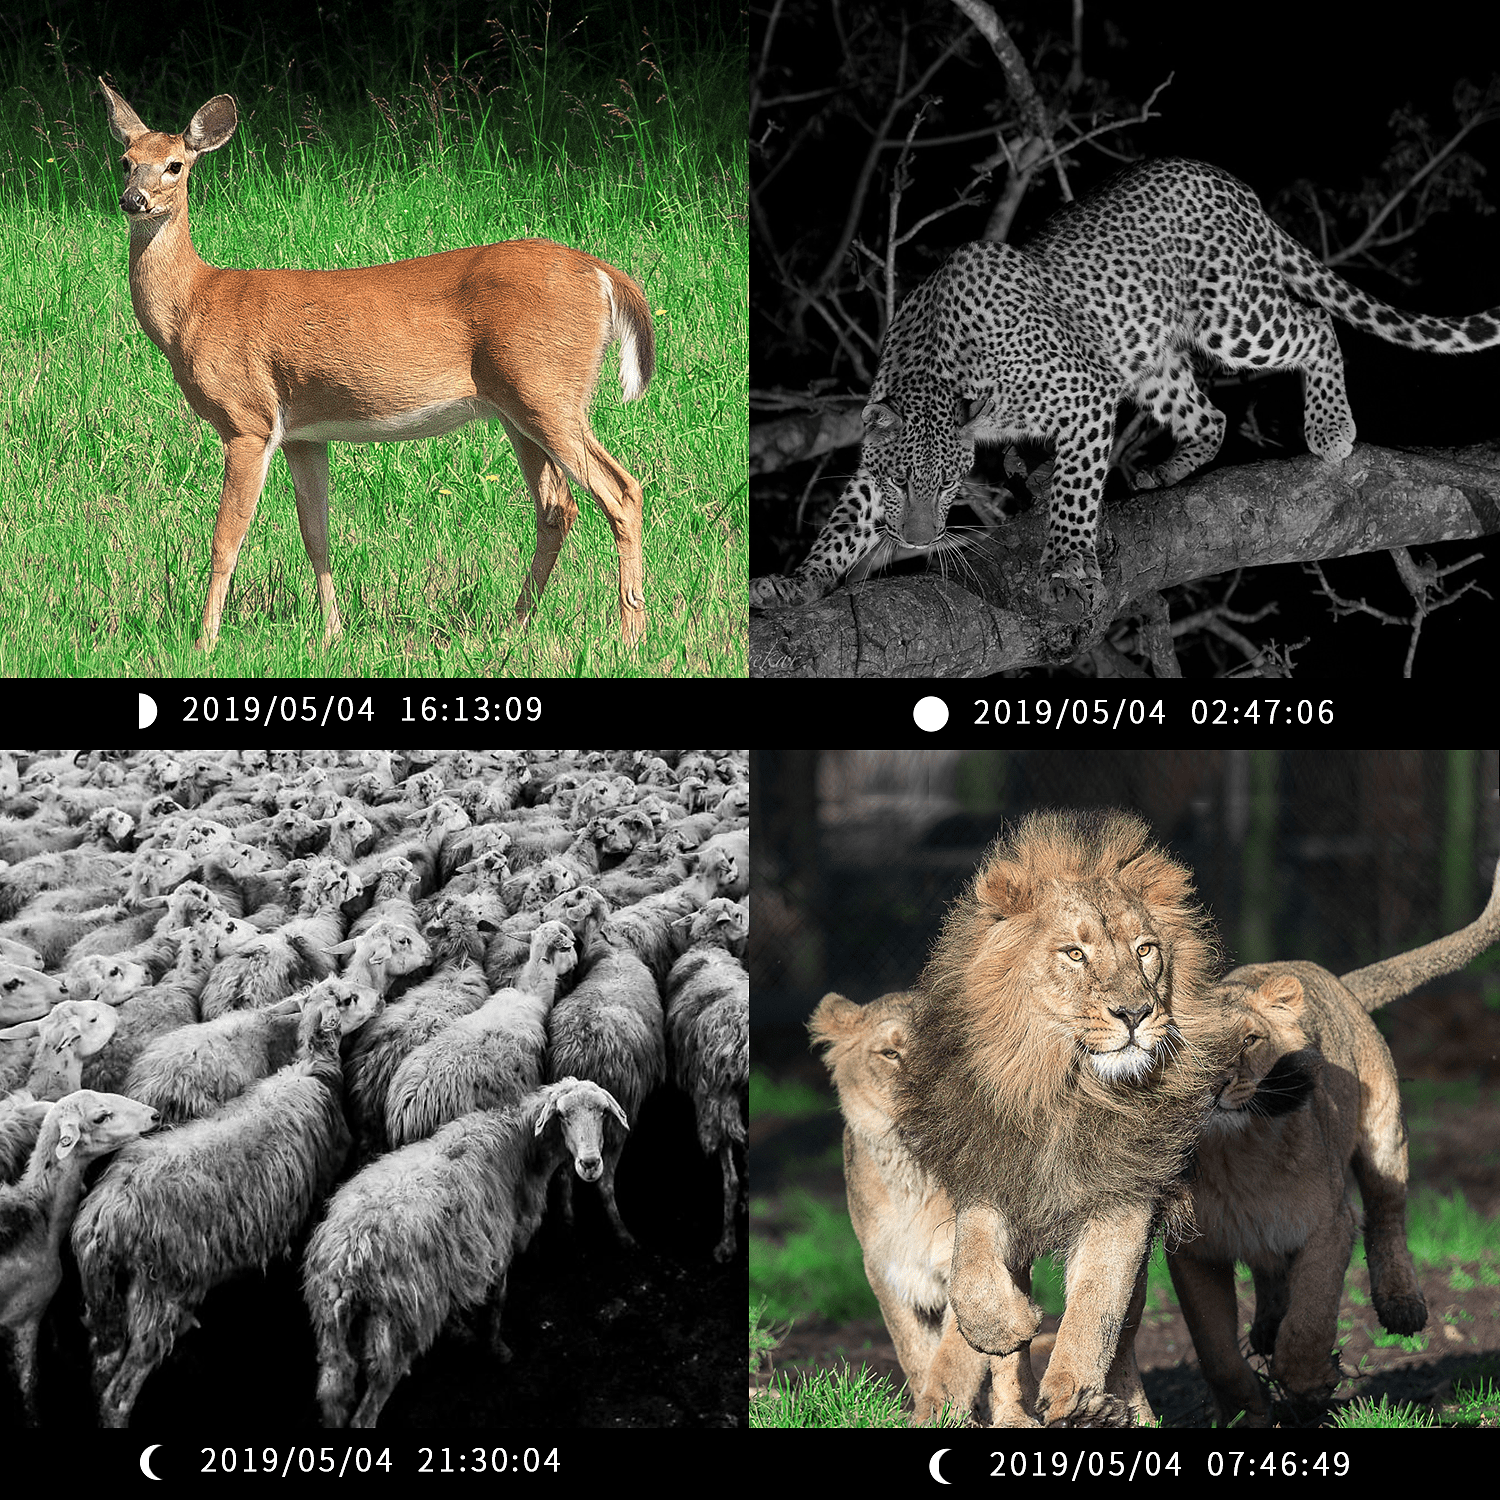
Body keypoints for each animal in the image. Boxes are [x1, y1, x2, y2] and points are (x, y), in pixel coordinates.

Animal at [98, 79, 655, 653]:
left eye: (175, 165)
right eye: (125, 161)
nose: (133, 200)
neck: (194, 305)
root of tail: (602, 274)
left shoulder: (247, 419)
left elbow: (226, 538)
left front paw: (204, 640)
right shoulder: (303, 433)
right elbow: (316, 535)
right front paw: (332, 634)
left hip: (547, 389)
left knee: (622, 491)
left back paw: (630, 634)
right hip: (517, 407)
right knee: (556, 507)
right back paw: (512, 626)